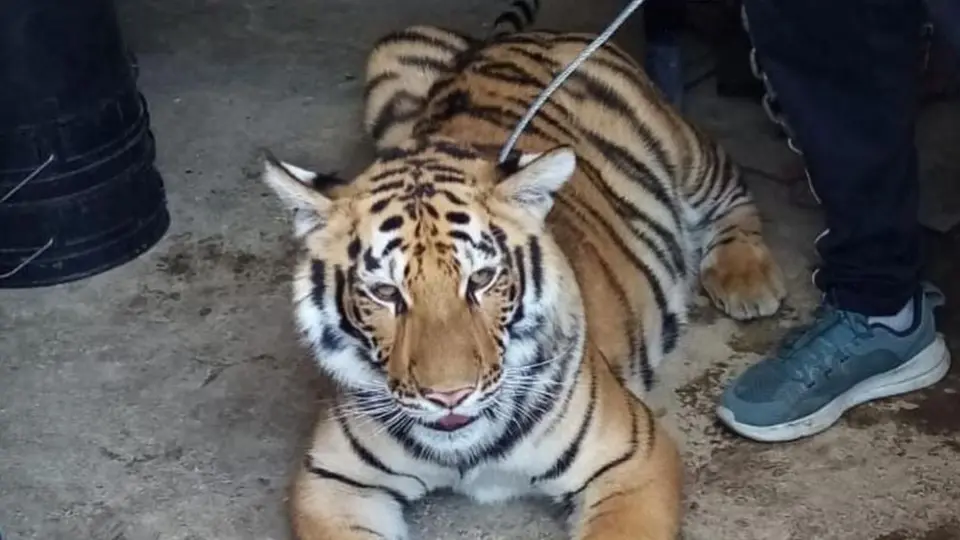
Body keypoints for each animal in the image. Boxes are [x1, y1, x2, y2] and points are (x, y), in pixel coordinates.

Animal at [260, 0, 786, 538]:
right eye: (385, 292)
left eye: (481, 279)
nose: (450, 397)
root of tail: (515, 38)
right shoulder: (333, 480)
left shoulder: (631, 456)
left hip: (685, 151)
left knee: (733, 192)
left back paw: (748, 280)